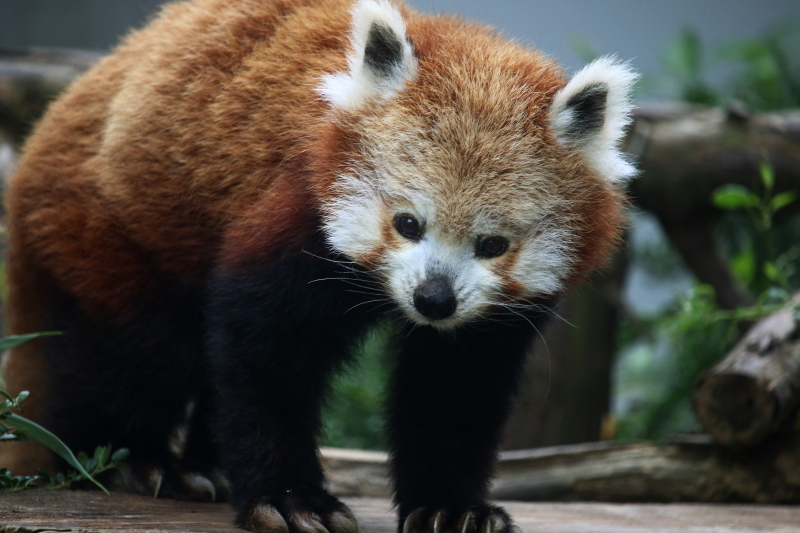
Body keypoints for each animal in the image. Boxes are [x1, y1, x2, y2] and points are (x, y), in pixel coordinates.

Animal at [1, 0, 636, 528]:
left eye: (492, 245)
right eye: (408, 223)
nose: (433, 299)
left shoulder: (490, 318)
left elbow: (455, 387)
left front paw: (450, 506)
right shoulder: (295, 213)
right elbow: (265, 355)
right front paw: (290, 498)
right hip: (106, 229)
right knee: (133, 351)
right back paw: (129, 460)